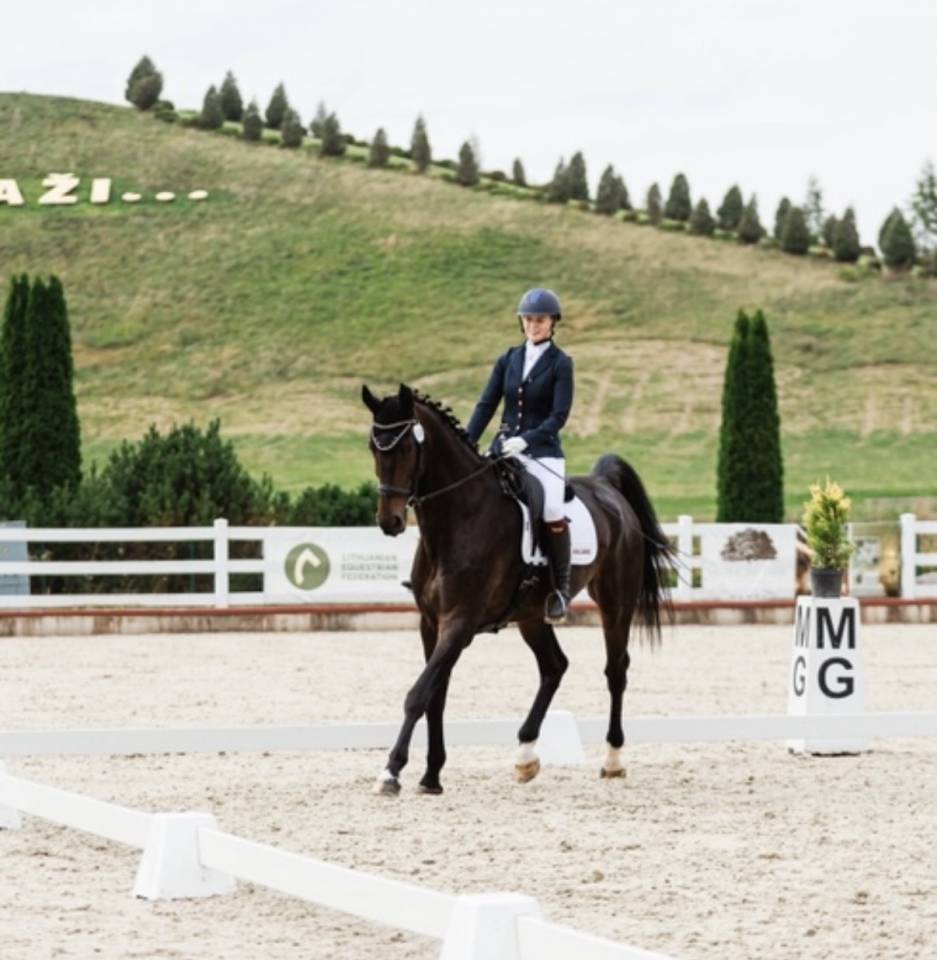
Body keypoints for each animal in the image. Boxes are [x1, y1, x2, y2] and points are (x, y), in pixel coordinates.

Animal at [362, 382, 672, 796]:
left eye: (408, 449)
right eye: (373, 447)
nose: (390, 522)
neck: (457, 518)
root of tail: (606, 487)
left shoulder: (459, 622)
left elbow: (418, 695)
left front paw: (391, 772)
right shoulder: (431, 623)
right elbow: (435, 697)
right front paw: (431, 775)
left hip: (615, 603)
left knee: (615, 671)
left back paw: (612, 760)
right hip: (532, 615)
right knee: (554, 666)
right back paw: (525, 756)